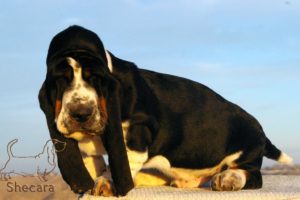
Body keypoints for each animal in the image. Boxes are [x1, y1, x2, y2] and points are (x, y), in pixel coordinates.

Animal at [38, 25, 292, 196]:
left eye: (97, 79)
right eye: (60, 81)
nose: (81, 113)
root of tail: (262, 133)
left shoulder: (137, 131)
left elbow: (123, 161)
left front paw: (107, 183)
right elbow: (93, 162)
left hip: (246, 150)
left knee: (253, 175)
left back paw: (229, 178)